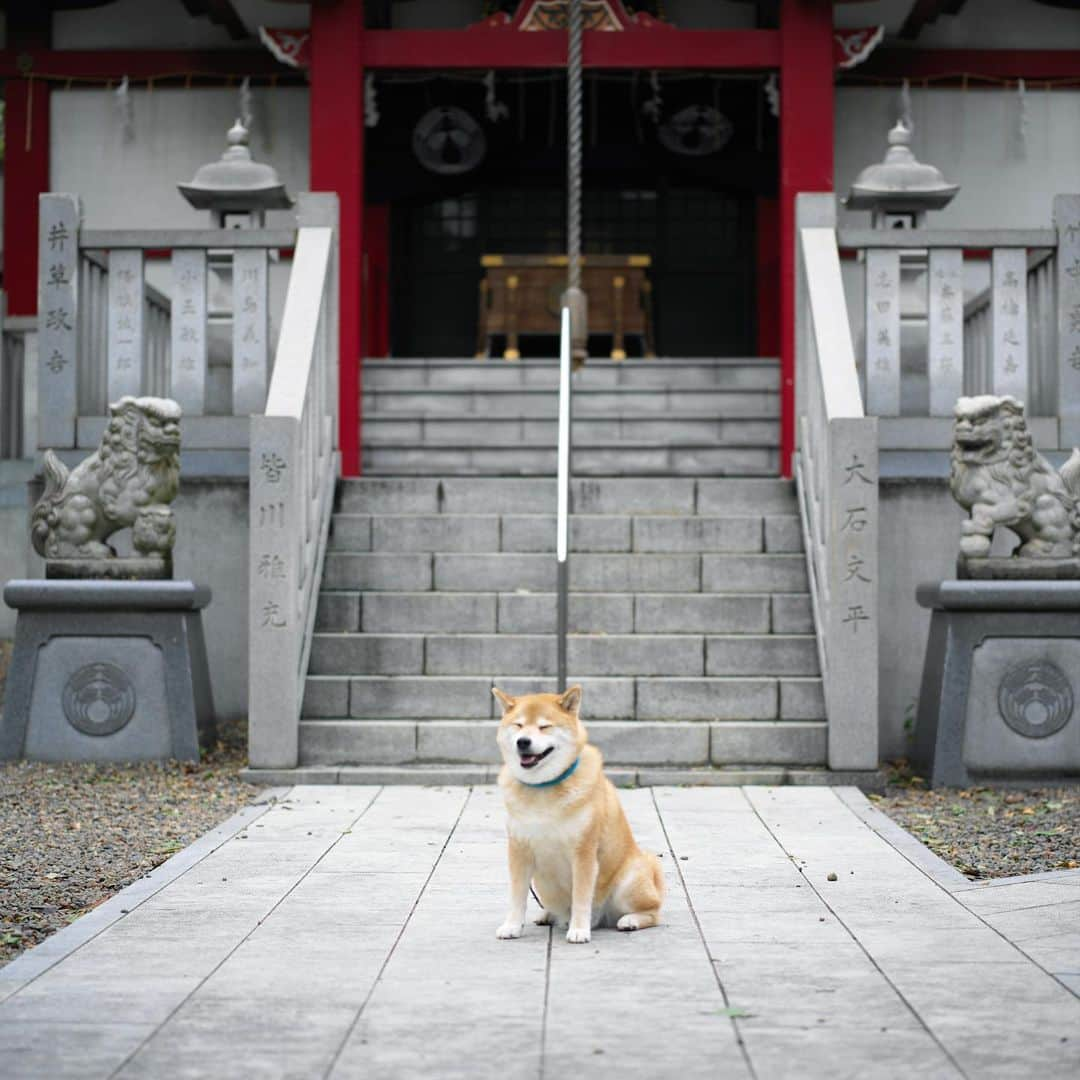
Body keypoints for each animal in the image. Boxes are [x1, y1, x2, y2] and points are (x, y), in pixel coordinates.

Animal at [492, 682, 660, 946]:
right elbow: (517, 896)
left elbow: (581, 897)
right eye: (518, 725)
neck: (543, 788)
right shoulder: (519, 850)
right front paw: (512, 926)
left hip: (630, 880)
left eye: (544, 726)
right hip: (541, 883)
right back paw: (547, 914)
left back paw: (630, 920)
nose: (523, 742)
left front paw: (579, 929)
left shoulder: (583, 852)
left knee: (654, 911)